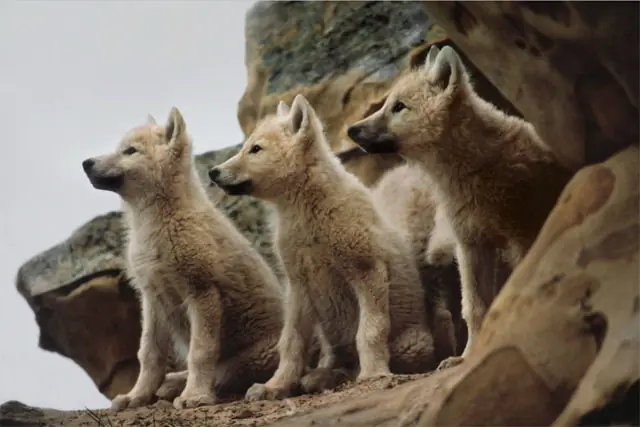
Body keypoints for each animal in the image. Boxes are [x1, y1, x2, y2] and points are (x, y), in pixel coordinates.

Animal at [81, 108, 284, 410]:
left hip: (257, 356)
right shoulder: (152, 298)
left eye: (130, 151)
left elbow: (200, 352)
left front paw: (195, 396)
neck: (159, 223)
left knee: (225, 372)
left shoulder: (202, 292)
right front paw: (136, 396)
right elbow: (148, 354)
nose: (86, 163)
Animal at [209, 94, 436, 401]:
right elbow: (291, 341)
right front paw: (274, 386)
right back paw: (318, 377)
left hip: (411, 345)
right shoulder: (299, 284)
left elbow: (370, 330)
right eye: (247, 146)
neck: (309, 214)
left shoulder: (368, 269)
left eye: (255, 149)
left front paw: (373, 374)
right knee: (332, 359)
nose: (213, 172)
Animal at [347, 45, 574, 369]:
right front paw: (467, 357)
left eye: (399, 106)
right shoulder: (471, 245)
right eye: (387, 103)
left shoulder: (523, 234)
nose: (352, 130)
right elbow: (474, 306)